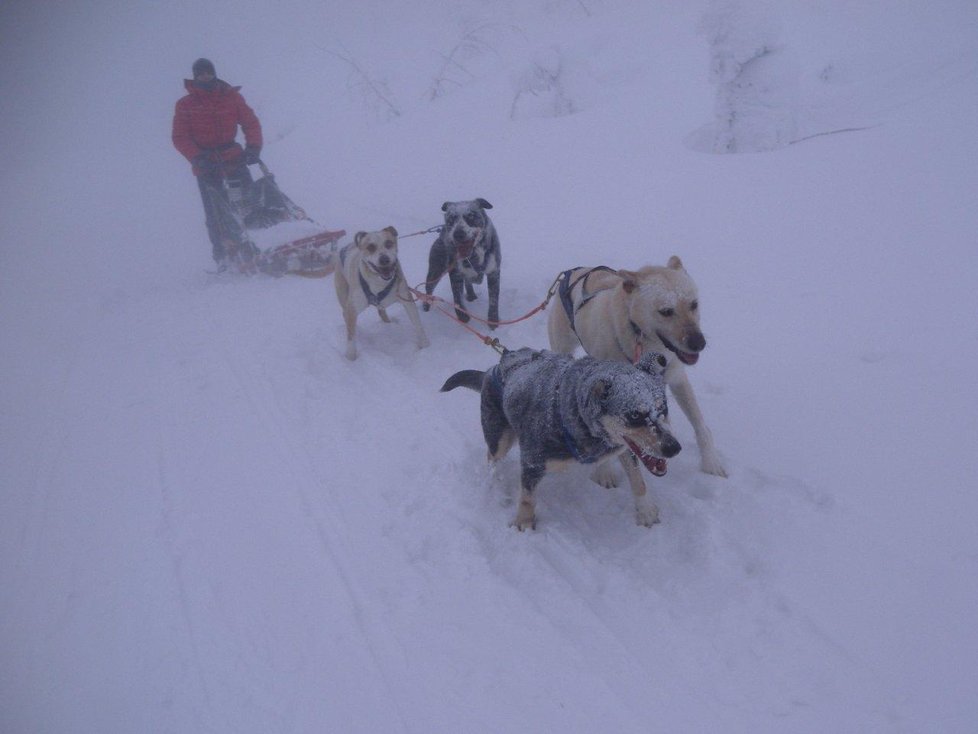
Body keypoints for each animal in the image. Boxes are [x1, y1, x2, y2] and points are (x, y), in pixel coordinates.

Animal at [332, 226, 428, 360]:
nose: (384, 259)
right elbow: (351, 338)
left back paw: (388, 323)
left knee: (381, 311)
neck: (379, 282)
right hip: (343, 292)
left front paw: (425, 346)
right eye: (370, 247)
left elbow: (418, 325)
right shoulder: (352, 308)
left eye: (388, 243)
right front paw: (351, 358)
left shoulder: (407, 300)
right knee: (345, 314)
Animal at [422, 200, 500, 330]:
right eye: (451, 218)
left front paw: (493, 320)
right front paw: (462, 315)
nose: (458, 233)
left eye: (470, 216)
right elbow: (457, 296)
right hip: (436, 271)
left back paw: (471, 294)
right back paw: (425, 308)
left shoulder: (493, 272)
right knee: (428, 290)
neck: (474, 254)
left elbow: (494, 300)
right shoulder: (455, 273)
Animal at [442, 348, 680, 532]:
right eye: (635, 415)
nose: (674, 448)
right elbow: (528, 497)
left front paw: (645, 510)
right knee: (493, 460)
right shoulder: (532, 461)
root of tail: (493, 369)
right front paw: (524, 523)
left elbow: (638, 479)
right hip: (498, 438)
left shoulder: (623, 447)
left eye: (663, 408)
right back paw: (495, 486)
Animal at [548, 256, 724, 480]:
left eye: (694, 304)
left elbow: (700, 425)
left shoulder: (677, 378)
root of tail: (575, 271)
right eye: (666, 311)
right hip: (562, 347)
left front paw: (711, 462)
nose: (699, 343)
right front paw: (605, 472)